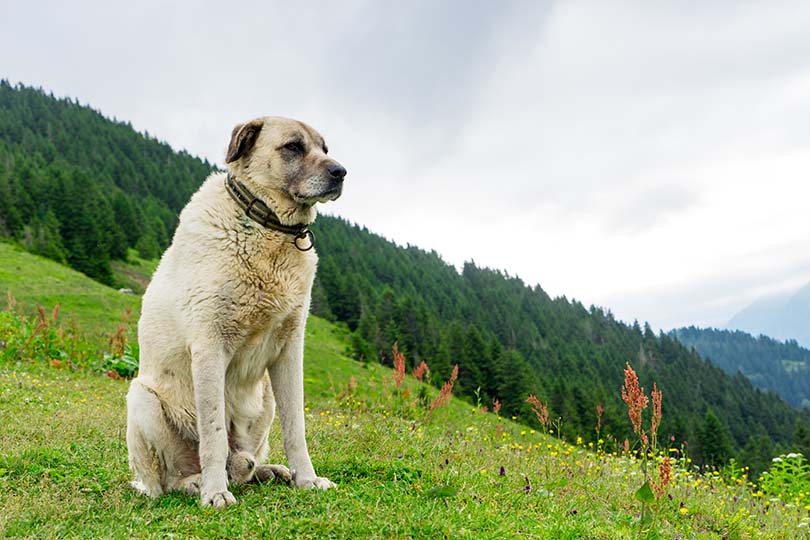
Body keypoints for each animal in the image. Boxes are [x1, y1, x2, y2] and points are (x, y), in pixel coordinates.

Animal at [124, 116, 346, 508]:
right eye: (293, 147)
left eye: (324, 148)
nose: (341, 172)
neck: (267, 227)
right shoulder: (210, 347)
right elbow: (213, 434)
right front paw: (215, 492)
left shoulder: (290, 350)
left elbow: (296, 428)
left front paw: (307, 479)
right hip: (142, 399)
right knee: (167, 481)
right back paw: (196, 483)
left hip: (265, 398)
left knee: (244, 463)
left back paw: (267, 471)